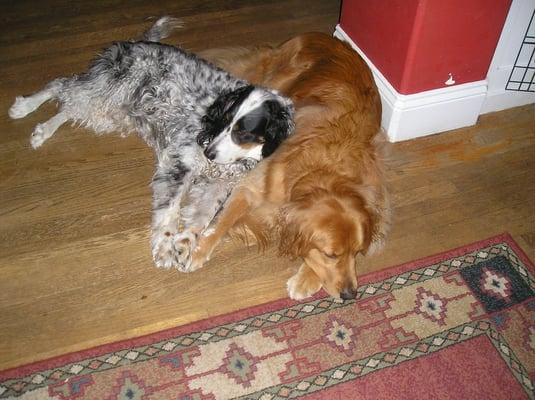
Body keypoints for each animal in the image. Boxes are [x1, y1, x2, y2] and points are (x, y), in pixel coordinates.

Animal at [8, 17, 294, 270]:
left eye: (243, 133)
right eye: (224, 121)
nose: (209, 152)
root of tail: (138, 42)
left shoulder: (220, 183)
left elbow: (203, 216)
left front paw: (185, 243)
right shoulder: (179, 163)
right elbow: (170, 210)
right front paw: (166, 246)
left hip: (112, 111)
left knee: (70, 108)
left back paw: (42, 130)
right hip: (107, 90)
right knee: (62, 86)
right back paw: (25, 107)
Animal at [187, 32, 390, 300]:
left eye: (357, 252)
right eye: (330, 254)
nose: (350, 295)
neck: (323, 166)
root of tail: (319, 35)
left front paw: (306, 279)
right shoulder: (250, 188)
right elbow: (222, 222)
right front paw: (200, 250)